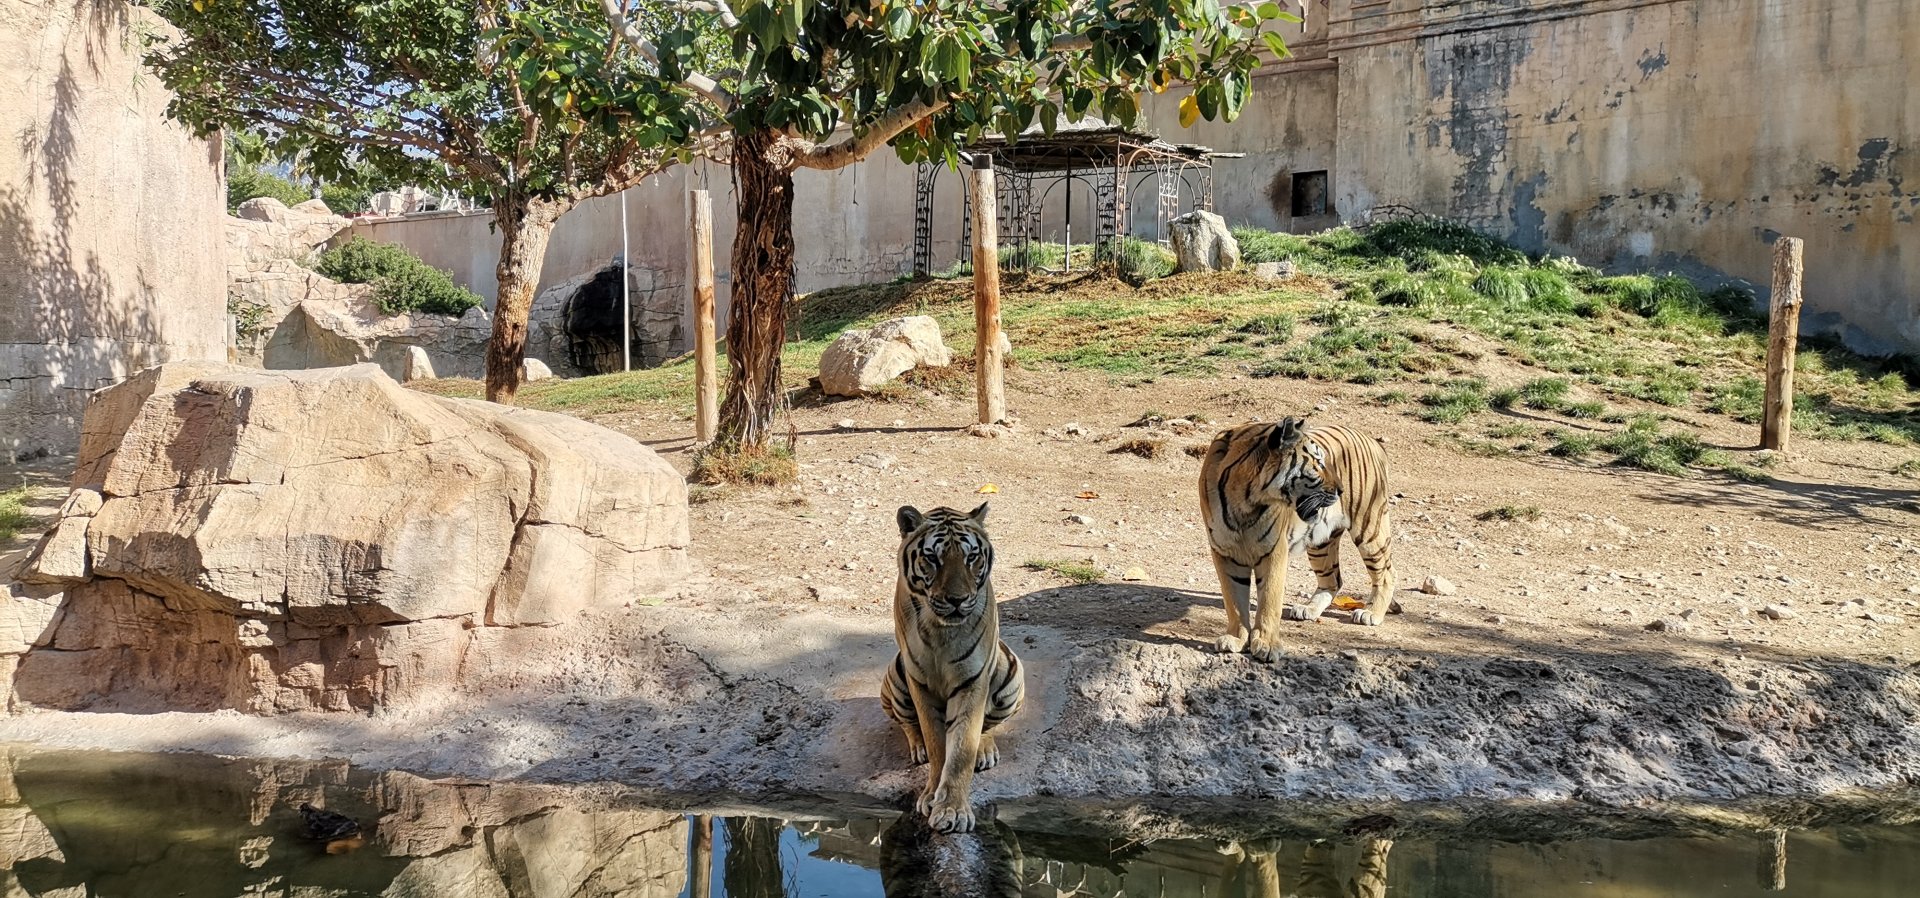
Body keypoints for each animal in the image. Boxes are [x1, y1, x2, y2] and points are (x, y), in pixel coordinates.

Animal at [881, 502, 1025, 834]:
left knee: (987, 726)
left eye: (971, 557)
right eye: (932, 558)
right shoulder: (919, 681)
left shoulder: (972, 680)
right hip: (895, 676)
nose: (957, 600)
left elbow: (961, 750)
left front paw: (952, 811)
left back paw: (985, 751)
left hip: (1010, 676)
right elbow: (937, 744)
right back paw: (918, 748)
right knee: (908, 724)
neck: (940, 631)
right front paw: (931, 795)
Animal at [1198, 417, 1398, 662]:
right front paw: (1236, 638)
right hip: (1321, 542)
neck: (1246, 499)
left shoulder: (1274, 550)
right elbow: (1234, 601)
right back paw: (1309, 609)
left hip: (1370, 527)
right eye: (1318, 463)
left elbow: (1269, 601)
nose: (1341, 490)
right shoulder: (1224, 552)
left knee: (1387, 573)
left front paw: (1267, 645)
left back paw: (1371, 612)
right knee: (1333, 579)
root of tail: (1372, 441)